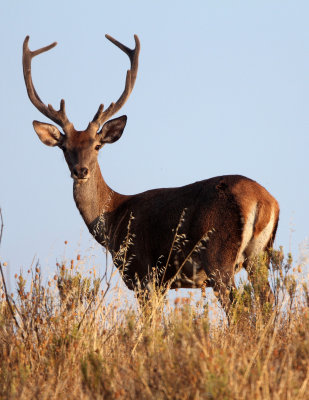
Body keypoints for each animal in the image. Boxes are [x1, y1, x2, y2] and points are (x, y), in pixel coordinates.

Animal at [22, 35, 278, 316]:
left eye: (97, 146)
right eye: (65, 148)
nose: (81, 171)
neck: (113, 218)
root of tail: (265, 201)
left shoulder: (142, 273)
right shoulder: (161, 282)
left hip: (218, 255)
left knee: (237, 306)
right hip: (259, 256)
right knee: (268, 299)